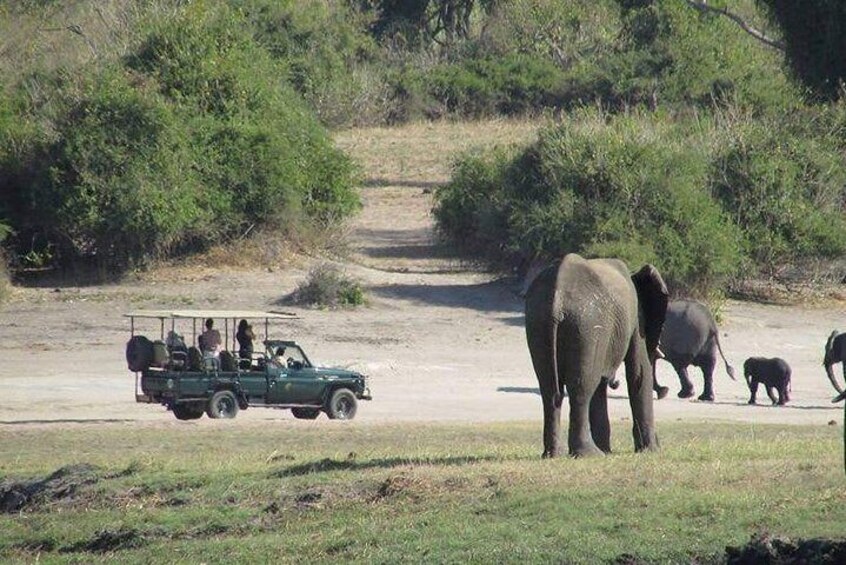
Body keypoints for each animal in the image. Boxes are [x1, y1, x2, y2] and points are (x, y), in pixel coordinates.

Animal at [524, 253, 668, 456]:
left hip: (539, 321)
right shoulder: (636, 319)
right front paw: (650, 451)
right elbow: (639, 373)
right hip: (586, 325)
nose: (615, 382)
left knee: (549, 387)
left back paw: (555, 454)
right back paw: (589, 453)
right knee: (583, 387)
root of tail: (558, 296)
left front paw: (608, 451)